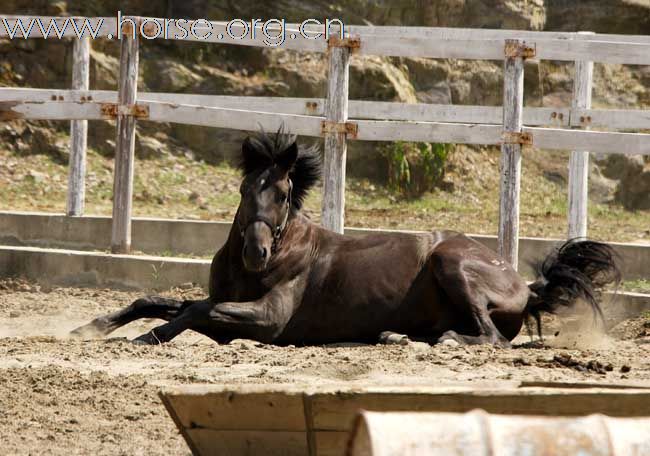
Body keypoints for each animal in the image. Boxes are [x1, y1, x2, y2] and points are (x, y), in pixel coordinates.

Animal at [71, 130, 616, 348]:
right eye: (245, 189)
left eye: (284, 194)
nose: (255, 252)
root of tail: (525, 286)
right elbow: (159, 301)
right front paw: (90, 327)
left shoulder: (269, 319)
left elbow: (195, 311)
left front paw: (144, 339)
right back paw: (396, 335)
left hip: (452, 263)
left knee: (489, 338)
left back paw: (439, 341)